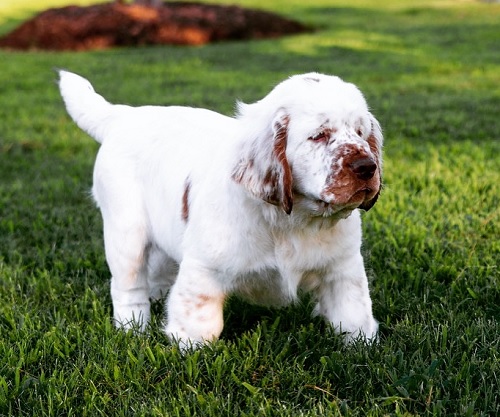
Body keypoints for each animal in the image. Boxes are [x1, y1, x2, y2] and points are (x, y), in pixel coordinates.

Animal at [61, 70, 382, 344]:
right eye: (319, 135)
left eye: (360, 133)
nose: (368, 167)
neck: (292, 221)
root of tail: (124, 116)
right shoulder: (204, 267)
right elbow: (199, 323)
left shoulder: (343, 267)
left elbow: (353, 314)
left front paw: (362, 348)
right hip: (126, 234)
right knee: (128, 286)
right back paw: (133, 330)